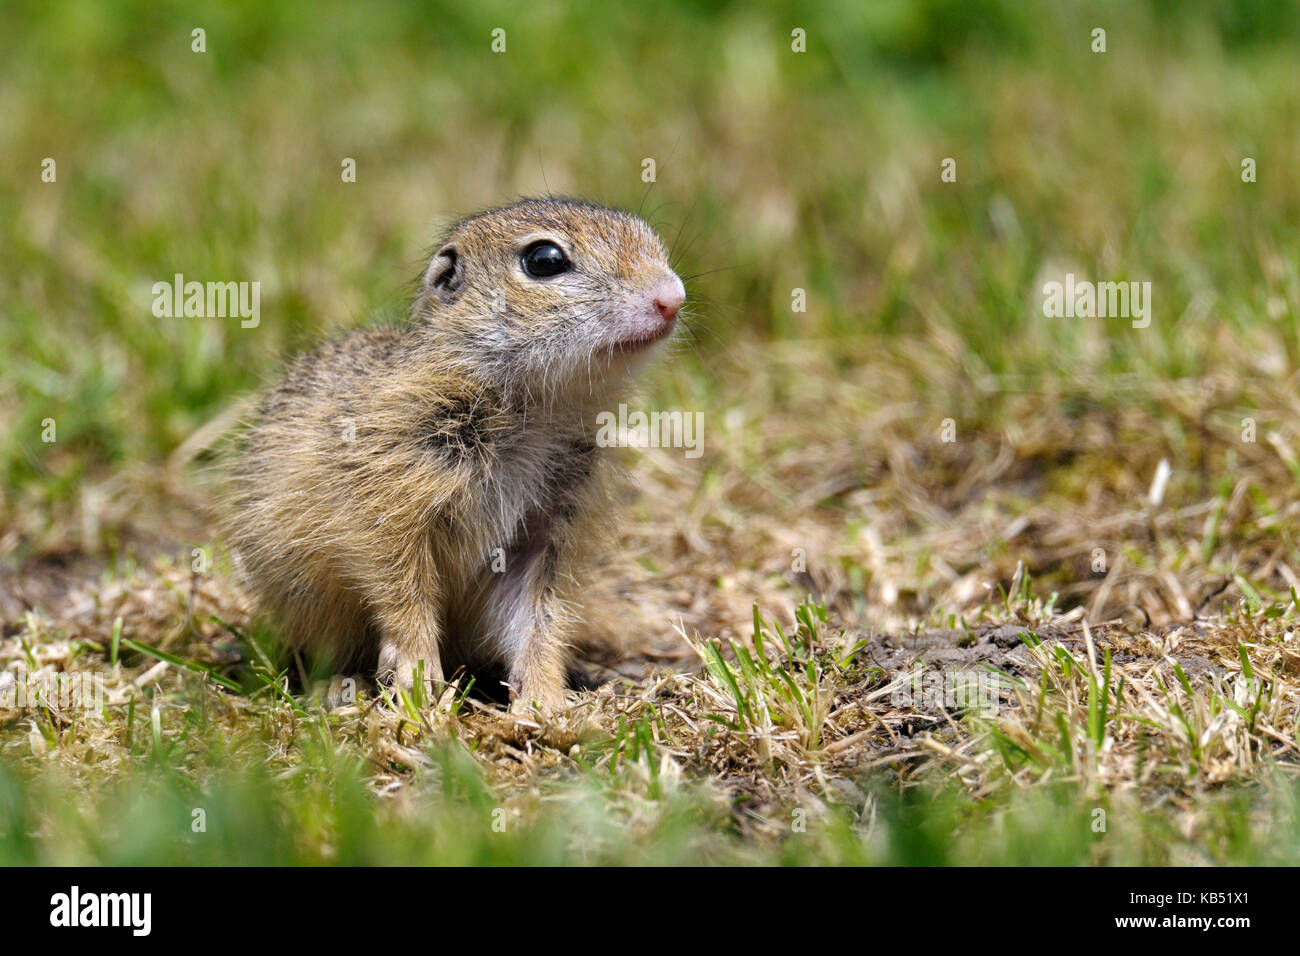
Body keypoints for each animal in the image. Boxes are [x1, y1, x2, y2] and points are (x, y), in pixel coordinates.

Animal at [223, 200, 686, 712]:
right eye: (544, 260)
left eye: (650, 238)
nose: (672, 298)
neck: (541, 410)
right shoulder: (388, 504)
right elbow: (402, 589)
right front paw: (418, 675)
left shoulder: (546, 531)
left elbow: (537, 615)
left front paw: (545, 699)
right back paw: (337, 685)